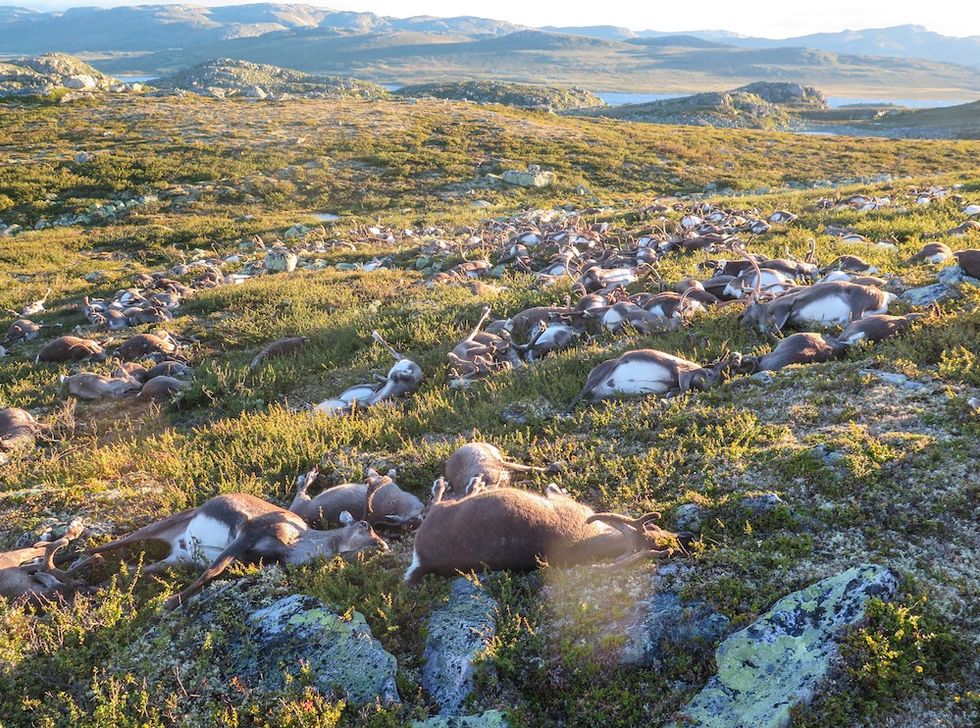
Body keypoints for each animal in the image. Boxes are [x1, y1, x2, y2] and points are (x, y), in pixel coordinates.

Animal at [89, 492, 389, 610]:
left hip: (176, 559)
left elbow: (215, 570)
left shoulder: (252, 555)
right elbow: (212, 571)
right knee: (102, 548)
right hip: (165, 524)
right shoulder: (247, 532)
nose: (383, 546)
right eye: (365, 526)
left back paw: (93, 587)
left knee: (129, 570)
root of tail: (179, 543)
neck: (295, 543)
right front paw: (171, 600)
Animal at [404, 483, 688, 584]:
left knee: (436, 503)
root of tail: (423, 561)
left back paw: (462, 484)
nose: (681, 538)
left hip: (441, 513)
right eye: (654, 526)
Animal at [568, 349, 740, 411]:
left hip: (601, 395)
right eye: (710, 373)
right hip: (597, 378)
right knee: (578, 395)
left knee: (587, 399)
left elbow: (676, 391)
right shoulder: (682, 373)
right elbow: (683, 389)